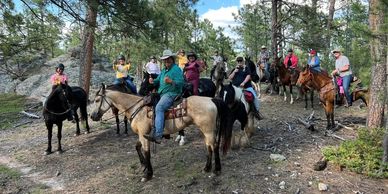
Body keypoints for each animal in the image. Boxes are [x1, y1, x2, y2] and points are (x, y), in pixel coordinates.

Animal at [89, 84, 232, 181]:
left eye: (97, 100)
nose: (92, 116)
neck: (137, 108)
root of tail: (211, 99)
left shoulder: (144, 135)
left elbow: (146, 152)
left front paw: (148, 174)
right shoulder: (143, 134)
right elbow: (137, 147)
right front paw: (143, 166)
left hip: (208, 130)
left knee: (214, 146)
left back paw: (216, 170)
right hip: (205, 130)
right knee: (209, 147)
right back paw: (207, 168)